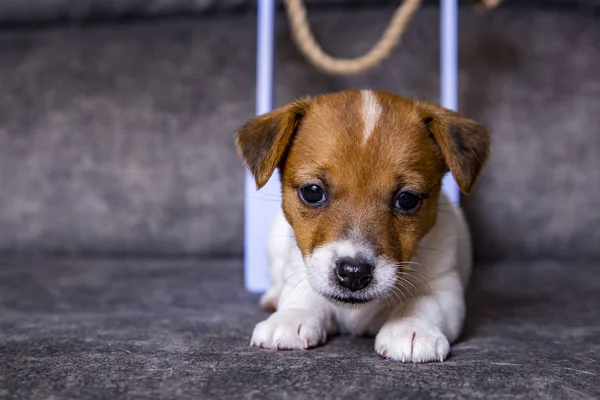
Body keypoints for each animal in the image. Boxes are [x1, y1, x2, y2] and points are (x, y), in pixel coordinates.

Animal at [233, 90, 488, 362]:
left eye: (407, 199)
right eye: (312, 192)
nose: (353, 273)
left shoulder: (445, 286)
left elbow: (424, 302)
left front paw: (411, 326)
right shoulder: (302, 269)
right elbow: (304, 294)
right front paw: (291, 318)